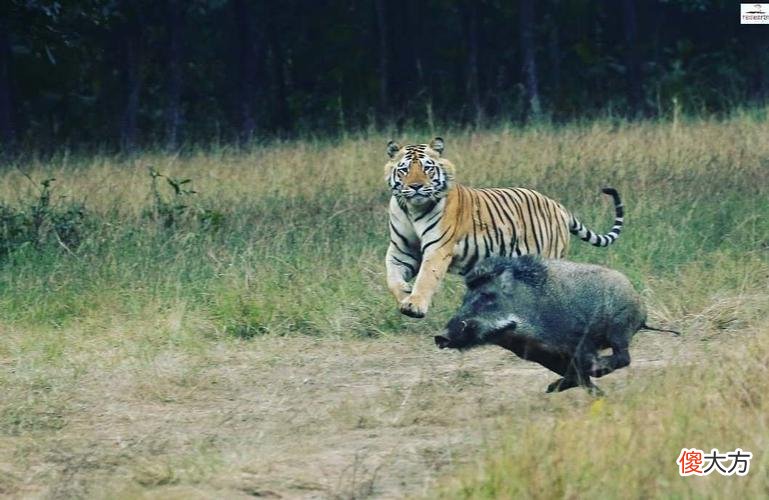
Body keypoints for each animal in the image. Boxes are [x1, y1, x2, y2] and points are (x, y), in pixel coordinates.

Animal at [385, 137, 624, 318]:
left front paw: (414, 305)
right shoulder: (401, 251)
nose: (416, 186)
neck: (412, 210)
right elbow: (391, 278)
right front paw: (405, 293)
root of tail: (558, 205)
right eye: (404, 170)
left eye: (427, 168)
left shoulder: (438, 249)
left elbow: (426, 278)